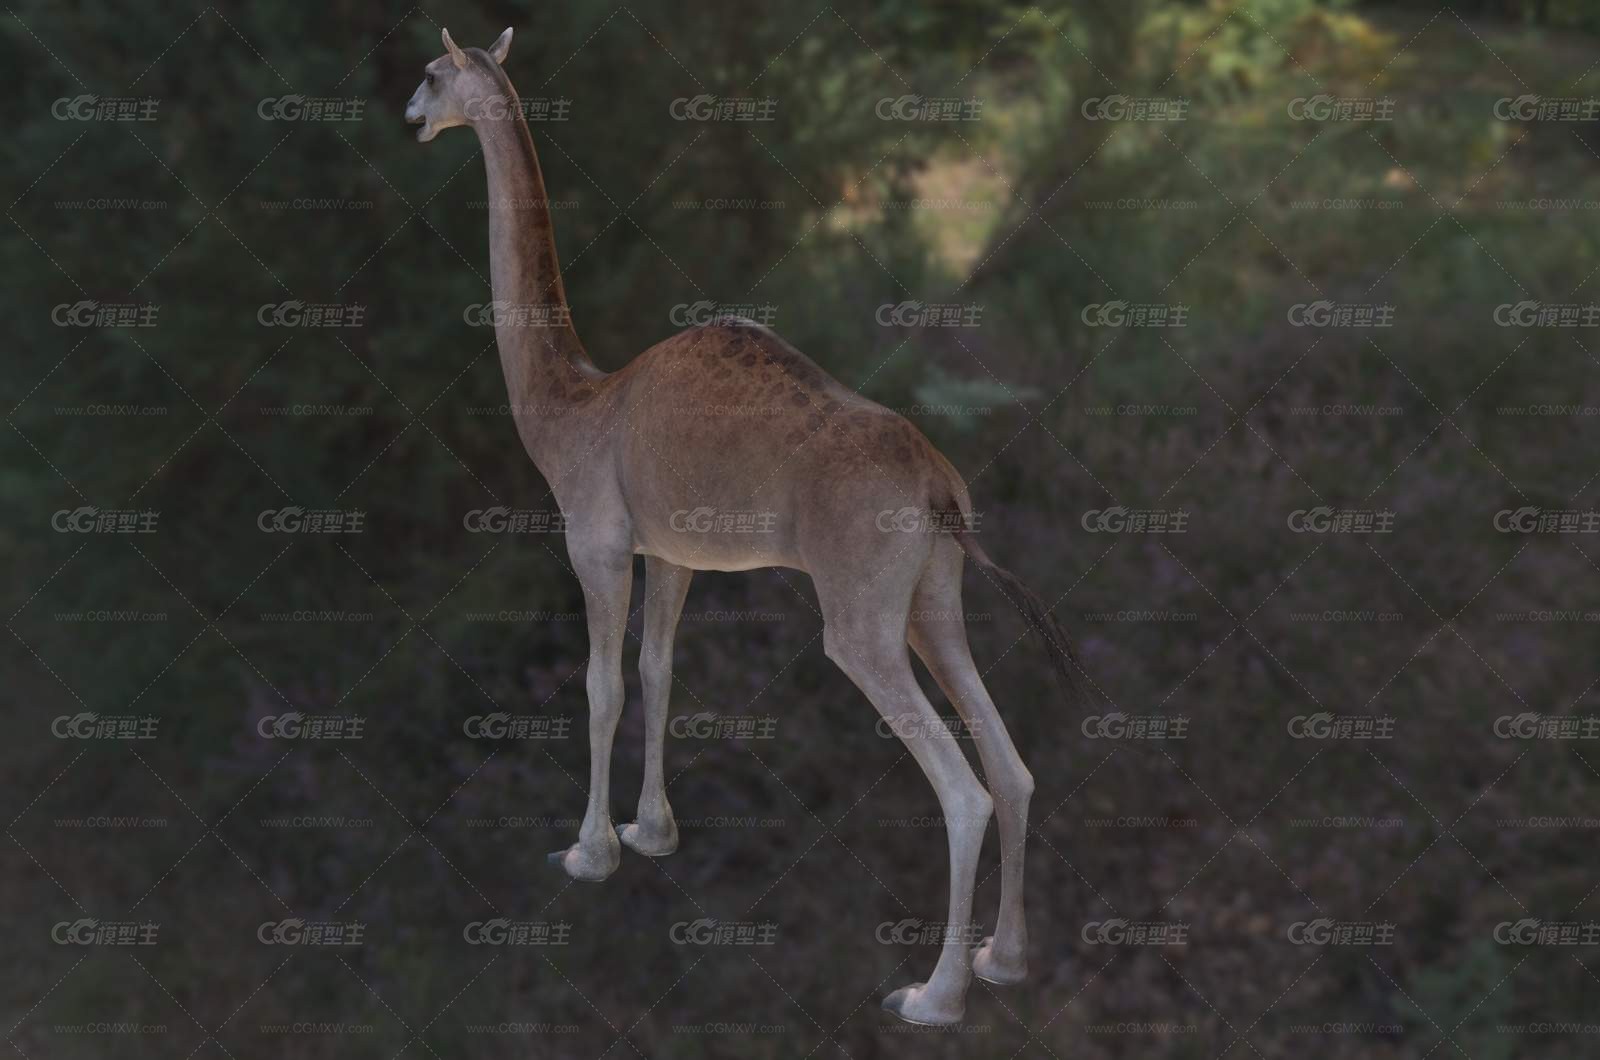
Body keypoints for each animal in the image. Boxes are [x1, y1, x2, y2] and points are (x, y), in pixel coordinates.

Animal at [403, 29, 1075, 1031]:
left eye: (434, 74)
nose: (411, 114)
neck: (573, 406)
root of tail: (938, 489)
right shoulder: (673, 554)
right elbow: (657, 670)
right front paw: (652, 832)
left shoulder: (594, 542)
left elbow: (601, 683)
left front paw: (588, 853)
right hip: (932, 597)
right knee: (1011, 762)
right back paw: (1005, 960)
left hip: (860, 621)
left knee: (962, 789)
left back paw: (932, 996)